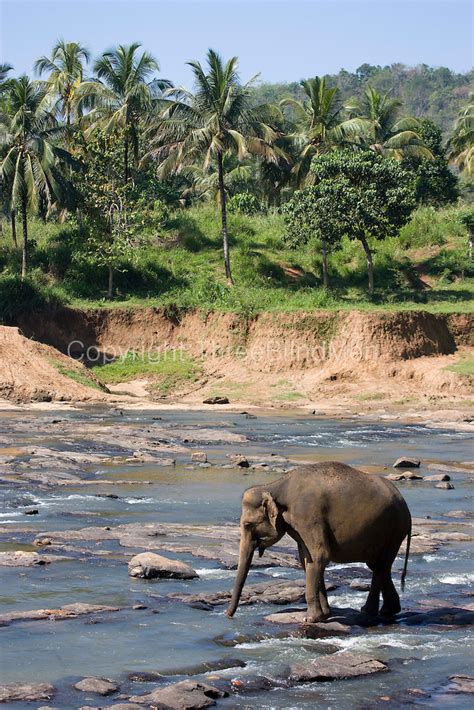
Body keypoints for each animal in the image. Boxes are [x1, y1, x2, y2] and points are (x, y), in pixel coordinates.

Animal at [226, 462, 412, 624]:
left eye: (247, 525)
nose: (228, 616)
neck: (274, 487)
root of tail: (405, 504)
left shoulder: (307, 515)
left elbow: (320, 556)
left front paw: (310, 619)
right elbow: (307, 559)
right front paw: (324, 616)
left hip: (394, 529)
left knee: (380, 565)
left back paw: (372, 611)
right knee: (378, 566)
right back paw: (384, 611)